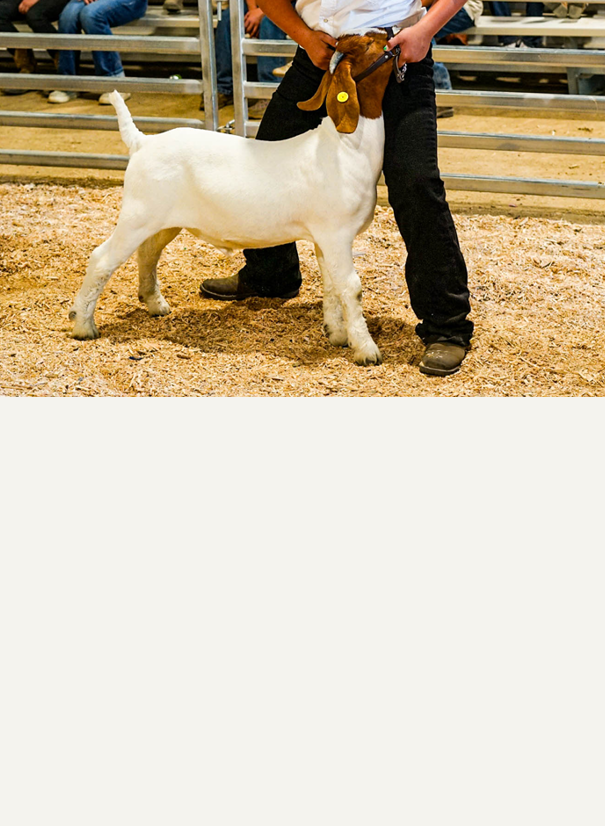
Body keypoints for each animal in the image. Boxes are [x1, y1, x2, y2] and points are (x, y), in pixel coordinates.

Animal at [69, 31, 394, 365]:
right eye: (371, 44)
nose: (391, 33)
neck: (347, 145)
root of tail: (142, 142)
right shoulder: (337, 234)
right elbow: (351, 287)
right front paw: (366, 350)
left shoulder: (323, 238)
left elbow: (332, 285)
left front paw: (337, 334)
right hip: (137, 214)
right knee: (101, 258)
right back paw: (83, 324)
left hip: (162, 221)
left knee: (147, 253)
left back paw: (155, 304)